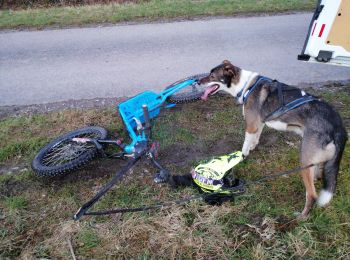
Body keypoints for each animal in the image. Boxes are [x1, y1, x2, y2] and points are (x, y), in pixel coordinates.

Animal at [197, 60, 348, 217]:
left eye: (212, 76)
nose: (196, 82)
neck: (246, 85)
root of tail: (338, 126)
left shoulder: (251, 125)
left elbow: (245, 145)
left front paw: (242, 157)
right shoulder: (259, 123)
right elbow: (255, 138)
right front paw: (252, 147)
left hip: (305, 161)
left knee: (312, 195)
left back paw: (301, 217)